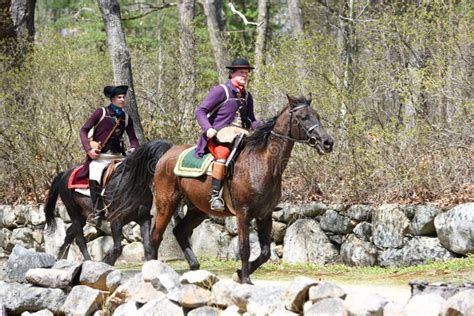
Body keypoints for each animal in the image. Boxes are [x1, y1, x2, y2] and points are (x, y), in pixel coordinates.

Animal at [44, 139, 172, 266]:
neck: (131, 184)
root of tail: (64, 174)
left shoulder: (144, 218)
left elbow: (148, 247)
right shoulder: (116, 221)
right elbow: (117, 249)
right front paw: (106, 262)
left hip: (83, 216)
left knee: (70, 234)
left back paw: (61, 259)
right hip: (73, 212)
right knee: (80, 239)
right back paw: (88, 261)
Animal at [151, 94, 334, 284]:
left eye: (317, 116)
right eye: (303, 117)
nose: (328, 143)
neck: (262, 164)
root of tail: (168, 152)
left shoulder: (264, 215)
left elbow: (265, 253)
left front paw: (239, 274)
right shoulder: (243, 214)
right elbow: (244, 248)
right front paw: (245, 278)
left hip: (198, 210)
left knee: (179, 231)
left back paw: (195, 266)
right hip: (167, 203)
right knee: (156, 236)